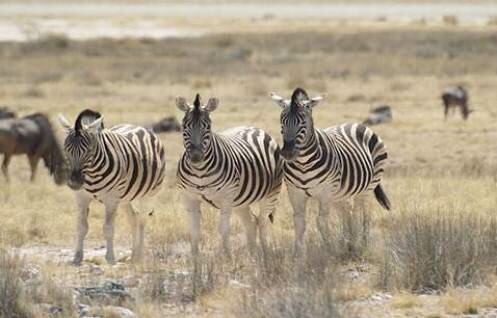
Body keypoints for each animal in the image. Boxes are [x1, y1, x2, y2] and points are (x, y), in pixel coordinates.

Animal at [57, 110, 167, 266]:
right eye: (66, 150)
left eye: (89, 151)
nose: (74, 183)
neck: (92, 173)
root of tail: (138, 126)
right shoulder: (82, 197)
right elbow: (81, 227)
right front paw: (77, 257)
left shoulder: (111, 199)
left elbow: (108, 228)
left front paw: (110, 258)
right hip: (125, 197)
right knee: (133, 217)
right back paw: (133, 255)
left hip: (148, 194)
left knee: (142, 220)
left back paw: (139, 256)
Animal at [176, 94, 282, 256]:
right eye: (184, 126)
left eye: (208, 127)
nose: (196, 157)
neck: (200, 172)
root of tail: (254, 128)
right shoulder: (189, 198)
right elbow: (194, 231)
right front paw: (195, 259)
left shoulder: (226, 199)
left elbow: (224, 229)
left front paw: (227, 257)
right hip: (240, 201)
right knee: (251, 222)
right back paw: (253, 255)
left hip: (271, 194)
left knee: (262, 222)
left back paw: (267, 254)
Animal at [270, 88, 390, 255]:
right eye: (282, 121)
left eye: (303, 122)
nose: (287, 153)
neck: (304, 164)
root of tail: (357, 124)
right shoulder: (295, 192)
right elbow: (299, 222)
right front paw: (298, 254)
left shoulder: (325, 192)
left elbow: (321, 221)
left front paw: (328, 249)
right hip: (340, 193)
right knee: (348, 211)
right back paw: (348, 241)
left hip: (368, 185)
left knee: (363, 211)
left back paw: (362, 242)